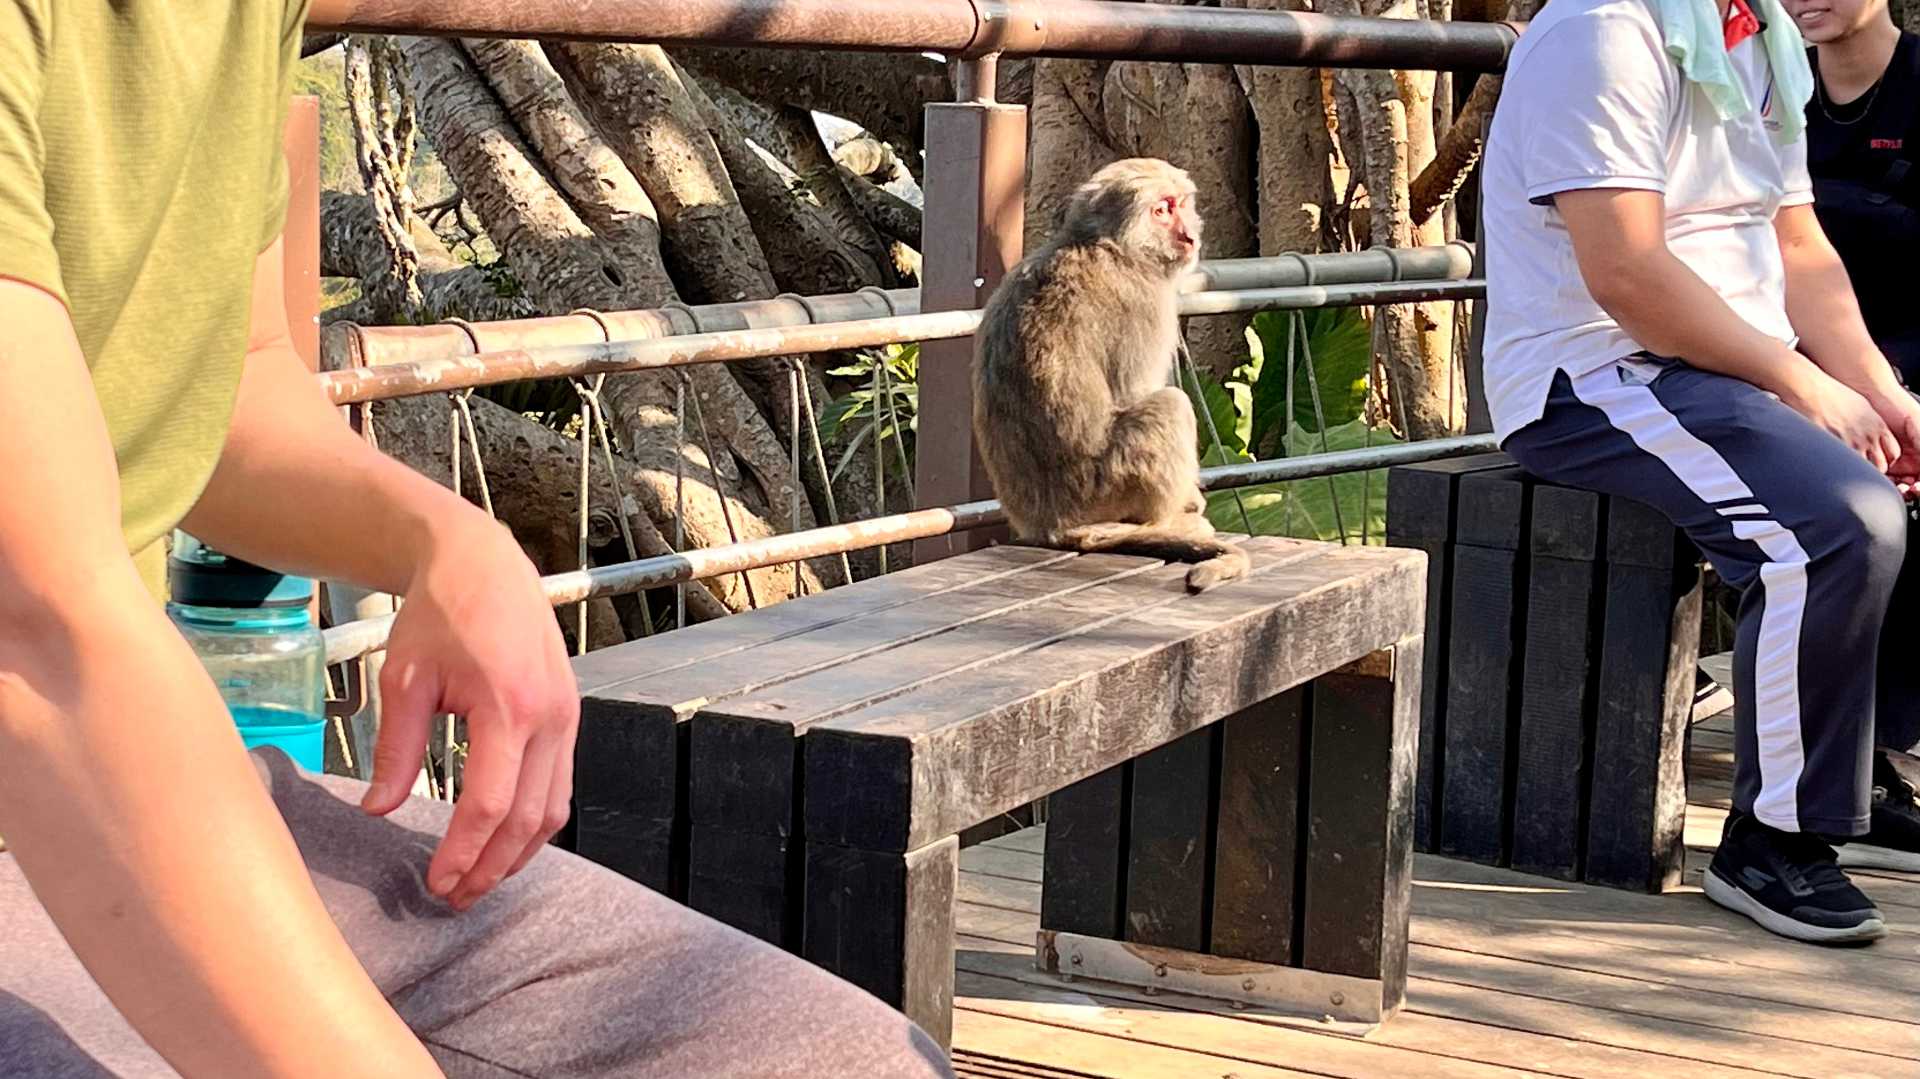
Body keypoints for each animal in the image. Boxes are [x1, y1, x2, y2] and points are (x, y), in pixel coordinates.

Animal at [967, 158, 1251, 587]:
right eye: (1161, 210)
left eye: (1181, 204)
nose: (1188, 235)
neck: (1107, 246)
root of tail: (1052, 525)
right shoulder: (1146, 304)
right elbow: (1134, 392)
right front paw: (1191, 499)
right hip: (1109, 487)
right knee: (1169, 405)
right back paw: (1168, 520)